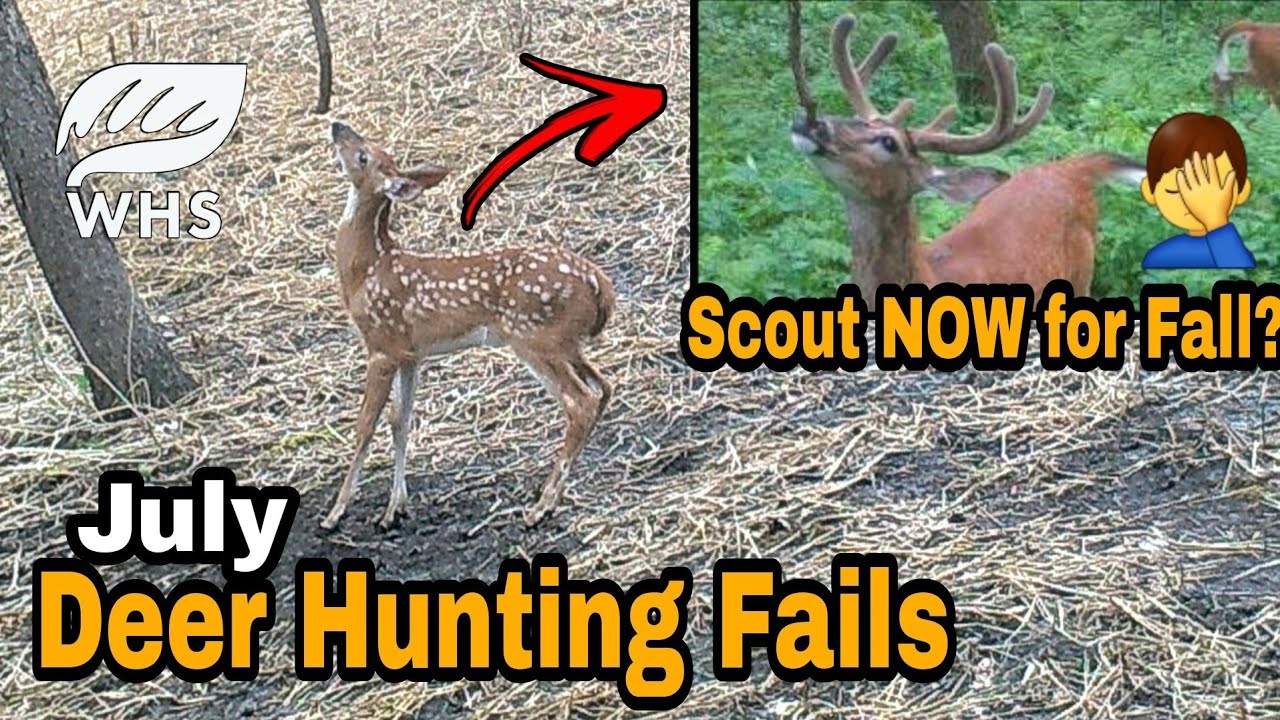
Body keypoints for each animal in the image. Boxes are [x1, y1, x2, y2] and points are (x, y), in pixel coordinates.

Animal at [323, 121, 615, 531]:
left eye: (364, 156)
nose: (338, 126)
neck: (366, 272)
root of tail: (599, 284)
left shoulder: (381, 343)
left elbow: (365, 427)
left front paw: (336, 512)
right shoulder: (410, 353)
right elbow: (401, 421)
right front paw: (395, 508)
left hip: (534, 337)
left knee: (580, 402)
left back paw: (540, 507)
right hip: (566, 341)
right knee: (603, 388)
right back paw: (553, 500)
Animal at [788, 15, 1145, 298]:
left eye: (889, 143)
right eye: (853, 119)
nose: (811, 122)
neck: (930, 276)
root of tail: (1071, 167)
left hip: (1084, 271)